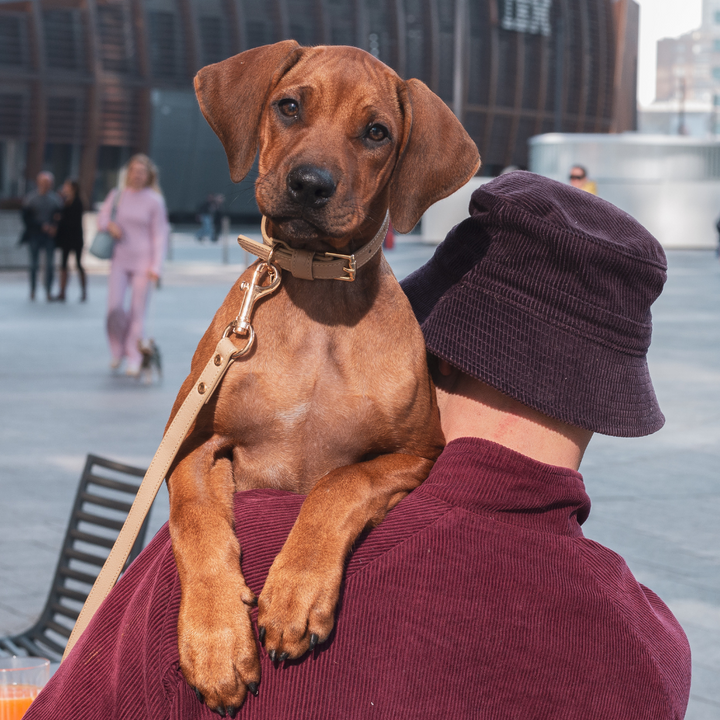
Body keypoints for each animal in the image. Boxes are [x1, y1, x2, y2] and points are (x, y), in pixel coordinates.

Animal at [167, 40, 480, 716]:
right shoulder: (191, 446)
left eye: (377, 132)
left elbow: (340, 483)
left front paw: (295, 593)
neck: (317, 304)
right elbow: (197, 523)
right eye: (288, 106)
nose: (310, 184)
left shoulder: (419, 452)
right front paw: (215, 641)